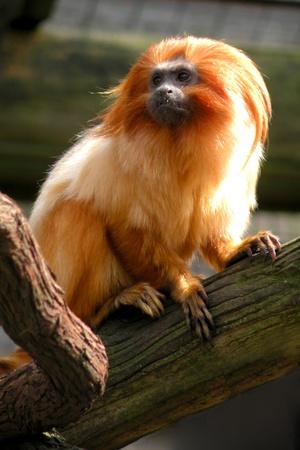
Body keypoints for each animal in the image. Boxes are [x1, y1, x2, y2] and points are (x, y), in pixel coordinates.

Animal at [0, 35, 282, 374]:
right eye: (157, 80)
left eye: (182, 77)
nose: (164, 92)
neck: (182, 142)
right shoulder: (126, 160)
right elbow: (125, 227)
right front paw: (184, 285)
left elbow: (214, 232)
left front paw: (236, 250)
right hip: (63, 289)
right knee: (77, 212)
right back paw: (108, 307)